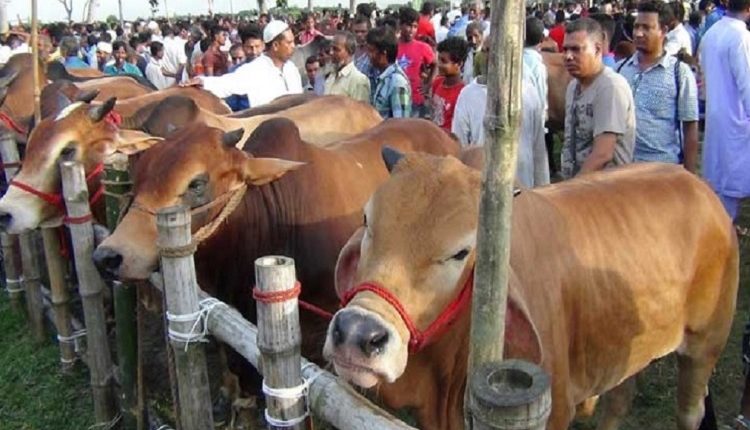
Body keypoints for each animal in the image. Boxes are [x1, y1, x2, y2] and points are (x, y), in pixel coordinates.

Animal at [324, 152, 738, 430]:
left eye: (461, 252)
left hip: (705, 347)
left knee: (690, 411)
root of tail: (697, 184)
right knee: (619, 400)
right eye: (367, 220)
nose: (358, 333)